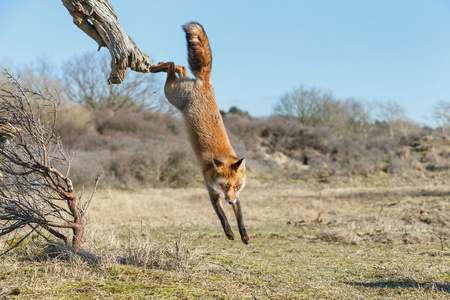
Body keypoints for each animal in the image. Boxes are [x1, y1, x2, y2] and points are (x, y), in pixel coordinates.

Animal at [151, 22, 250, 244]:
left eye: (236, 187)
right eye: (224, 186)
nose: (230, 202)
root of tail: (204, 81)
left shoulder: (237, 197)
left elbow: (240, 216)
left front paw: (244, 235)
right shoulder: (211, 192)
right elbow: (222, 217)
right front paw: (229, 233)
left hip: (176, 89)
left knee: (180, 67)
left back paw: (162, 65)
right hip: (171, 94)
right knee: (172, 65)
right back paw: (157, 66)